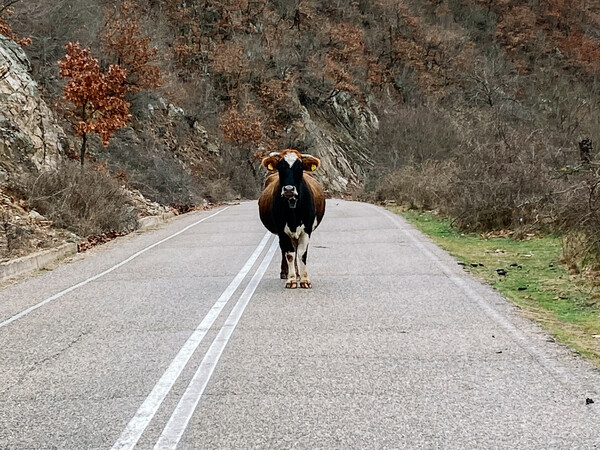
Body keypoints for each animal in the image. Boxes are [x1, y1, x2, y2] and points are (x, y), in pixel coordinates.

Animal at [256, 148, 326, 288]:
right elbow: (289, 254)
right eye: (280, 167)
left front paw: (304, 279)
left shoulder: (306, 229)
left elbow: (302, 253)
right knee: (285, 249)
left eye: (299, 167)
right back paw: (286, 273)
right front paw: (291, 279)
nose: (289, 189)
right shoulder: (282, 229)